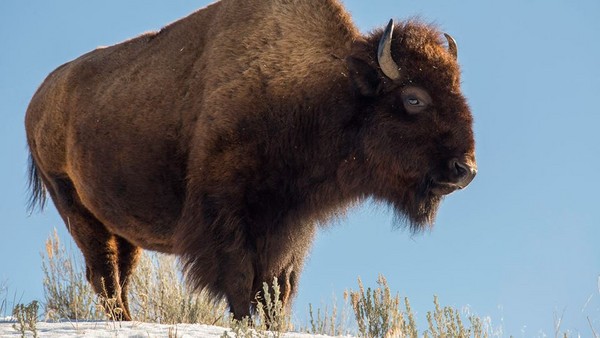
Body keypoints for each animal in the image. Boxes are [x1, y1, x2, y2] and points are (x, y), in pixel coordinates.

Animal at [25, 0, 478, 322]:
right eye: (414, 98)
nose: (466, 170)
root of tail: (38, 100)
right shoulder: (228, 216)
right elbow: (242, 282)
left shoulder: (290, 226)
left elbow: (279, 288)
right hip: (77, 210)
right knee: (104, 275)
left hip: (121, 228)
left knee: (117, 275)